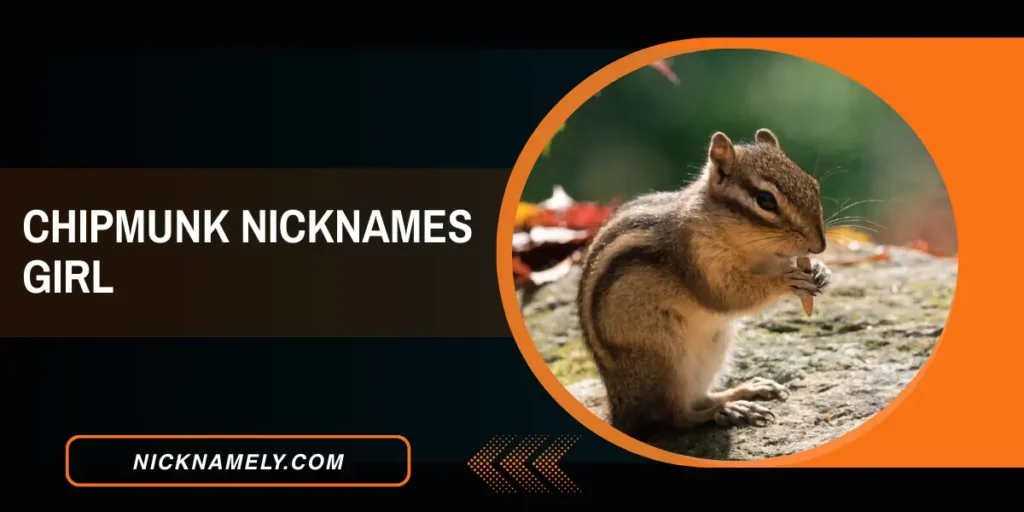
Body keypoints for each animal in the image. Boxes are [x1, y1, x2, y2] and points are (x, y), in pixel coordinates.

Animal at [575, 128, 832, 441]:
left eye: (813, 185)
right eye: (765, 200)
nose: (819, 247)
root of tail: (620, 406)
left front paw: (820, 270)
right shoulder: (696, 258)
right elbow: (727, 296)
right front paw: (788, 279)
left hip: (713, 348)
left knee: (699, 398)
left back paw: (745, 391)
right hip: (666, 358)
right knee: (676, 417)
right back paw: (729, 411)